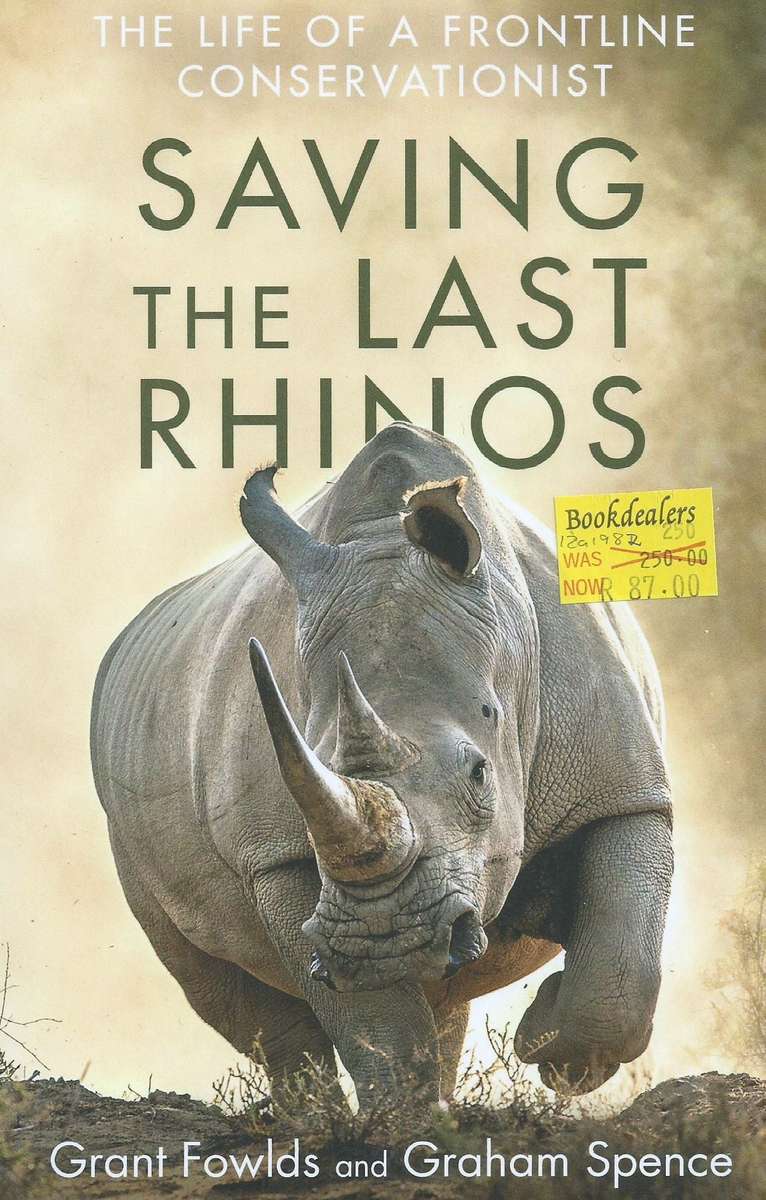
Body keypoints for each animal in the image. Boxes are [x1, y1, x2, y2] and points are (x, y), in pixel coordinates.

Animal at [91, 423, 672, 1102]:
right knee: (225, 990)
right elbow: (377, 1024)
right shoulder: (276, 855)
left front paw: (547, 1049)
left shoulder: (622, 783)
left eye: (479, 773)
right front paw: (405, 1120)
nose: (385, 940)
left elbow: (621, 963)